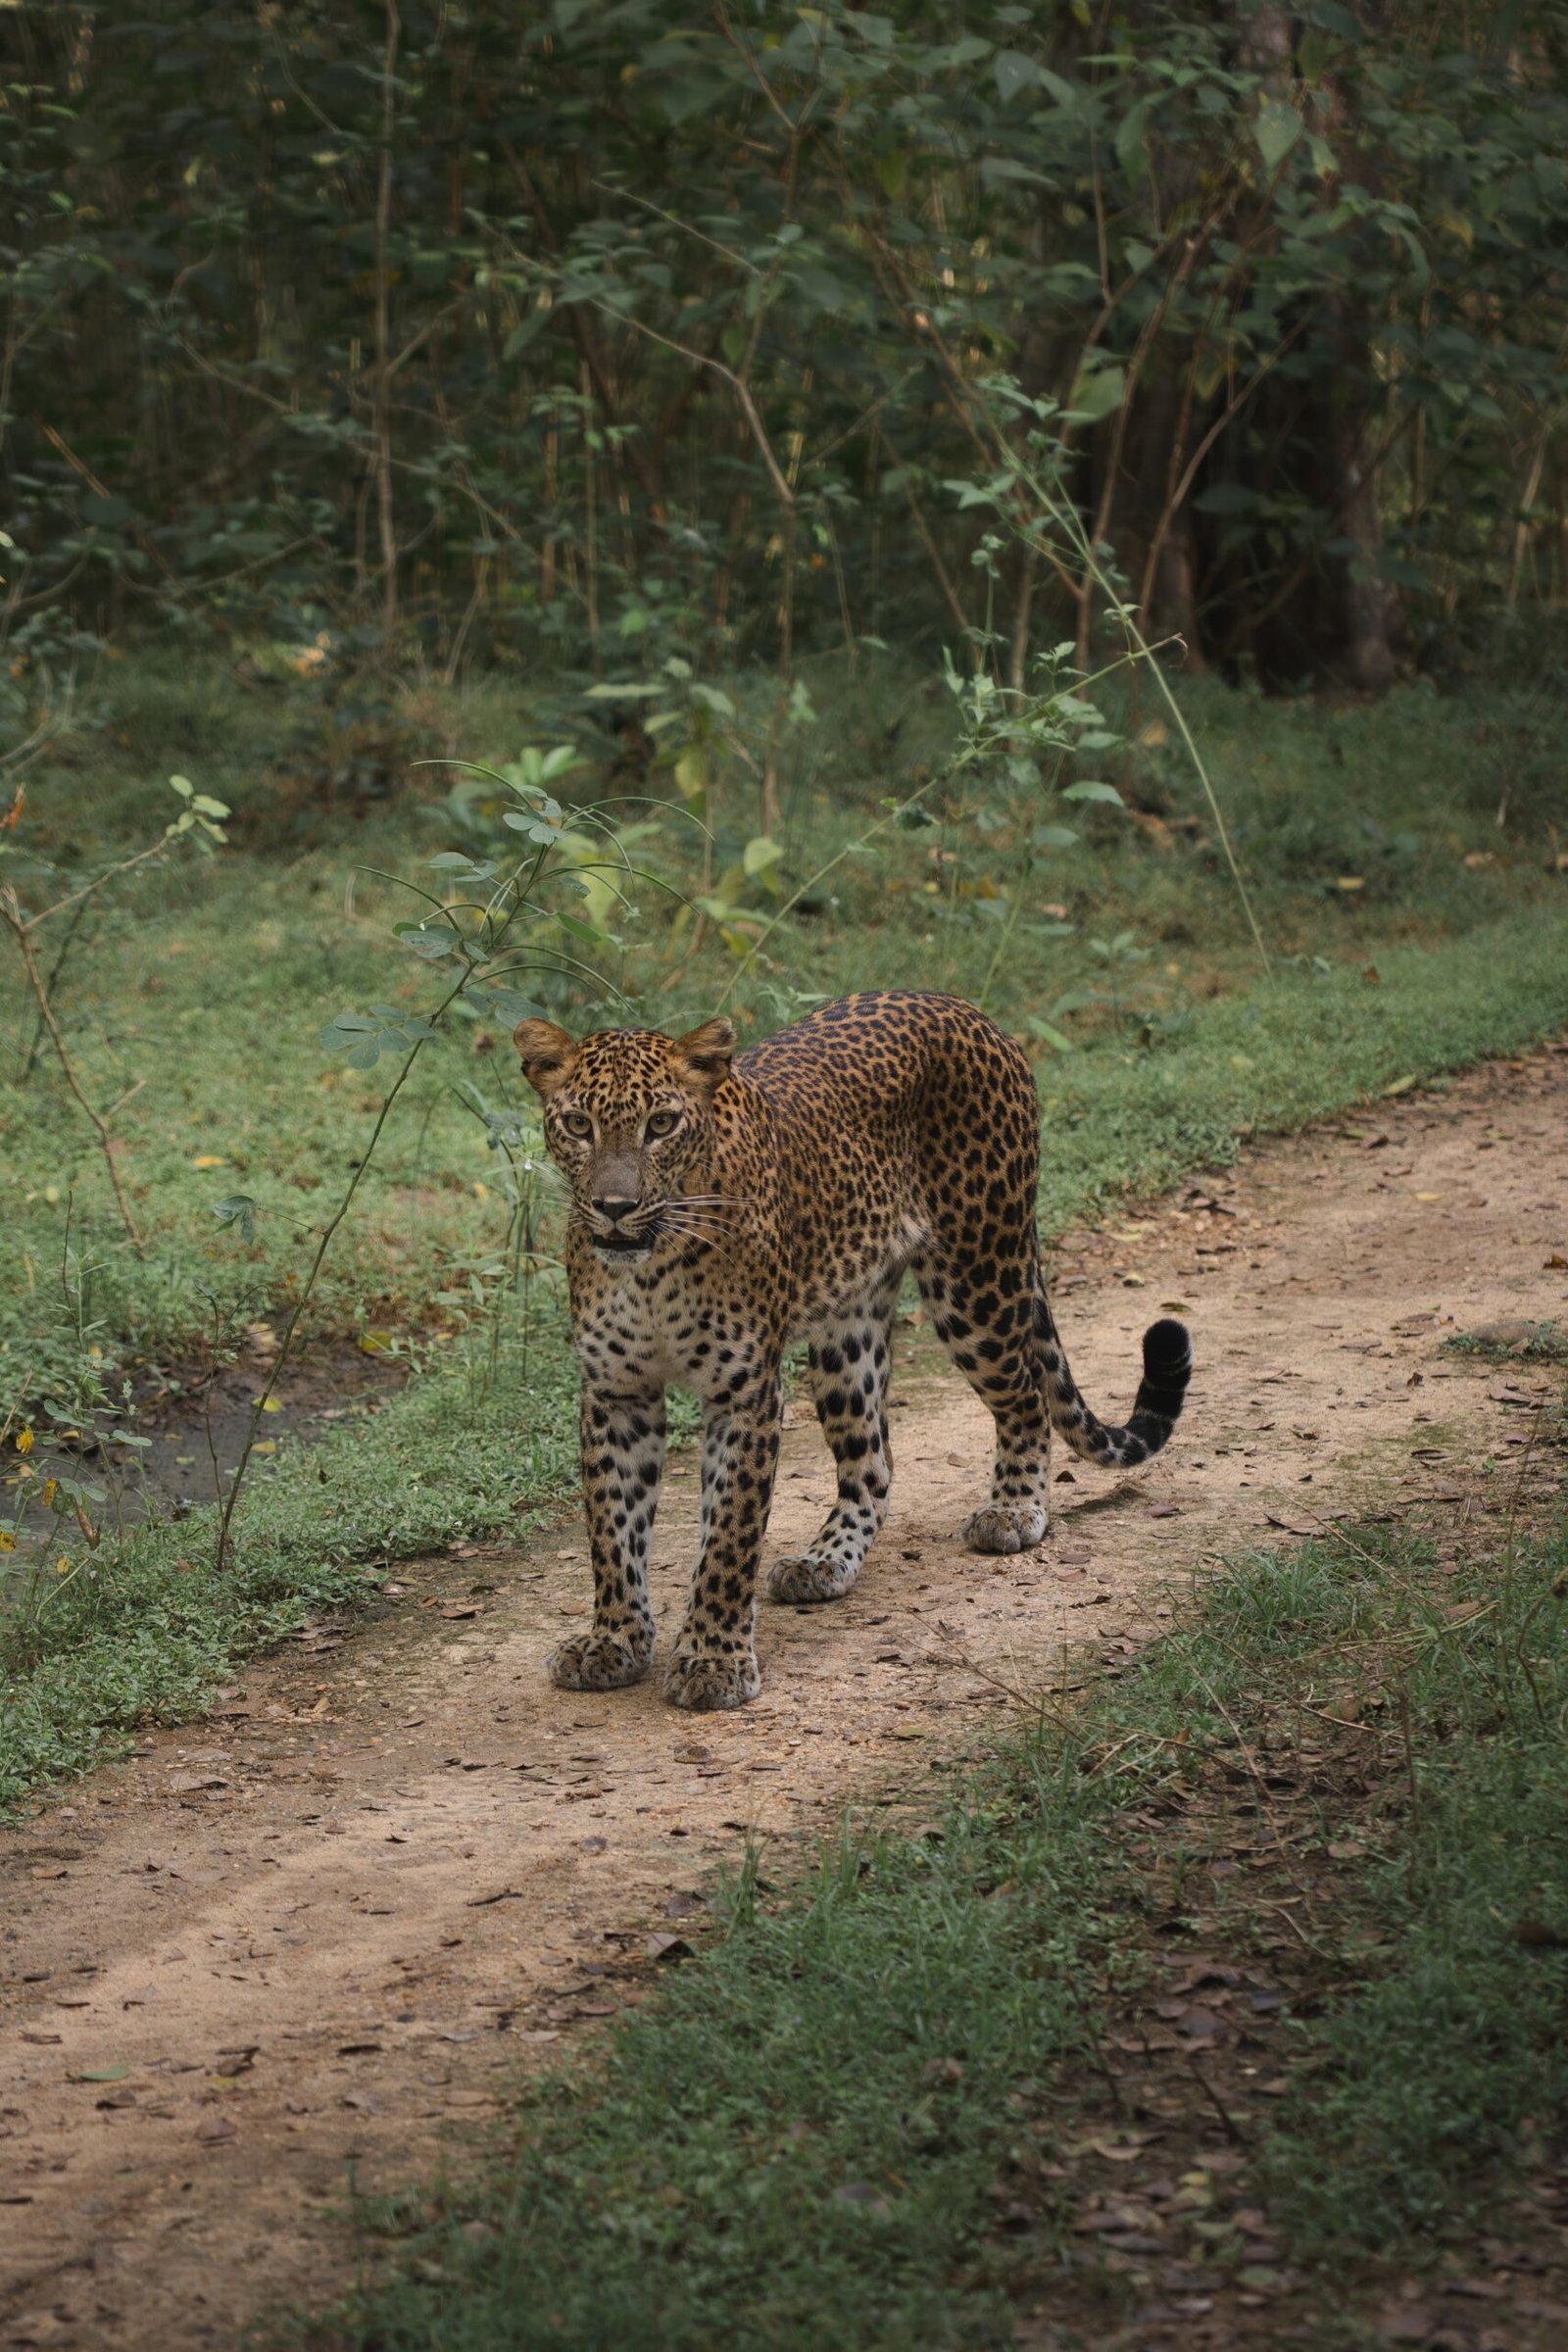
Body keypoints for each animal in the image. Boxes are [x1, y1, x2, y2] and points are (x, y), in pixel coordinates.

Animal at [515, 990, 1192, 1712]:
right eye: (579, 1124)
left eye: (662, 1123)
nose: (615, 1206)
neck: (651, 1265)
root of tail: (968, 1010)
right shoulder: (616, 1392)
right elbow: (612, 1530)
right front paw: (613, 1641)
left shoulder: (745, 1393)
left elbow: (728, 1535)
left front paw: (714, 1661)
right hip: (849, 1334)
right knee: (874, 1461)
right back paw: (824, 1560)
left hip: (978, 1277)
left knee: (1028, 1397)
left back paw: (1012, 1511)